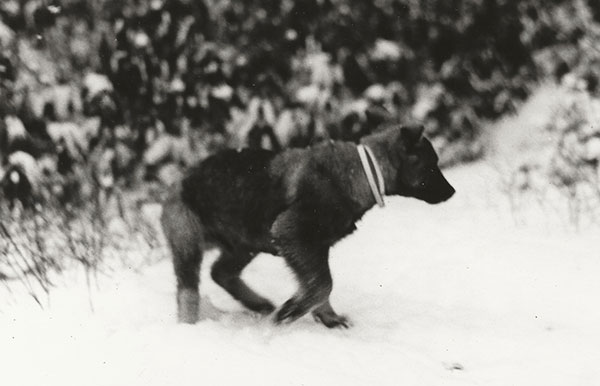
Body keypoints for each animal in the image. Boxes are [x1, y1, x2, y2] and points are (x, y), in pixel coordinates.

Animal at [161, 124, 454, 328]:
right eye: (431, 166)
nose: (452, 192)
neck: (363, 171)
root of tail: (178, 182)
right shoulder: (293, 234)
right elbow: (322, 284)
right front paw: (290, 312)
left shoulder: (314, 246)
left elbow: (320, 284)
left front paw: (328, 318)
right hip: (190, 242)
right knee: (188, 291)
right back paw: (188, 327)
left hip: (245, 242)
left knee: (220, 272)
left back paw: (258, 303)